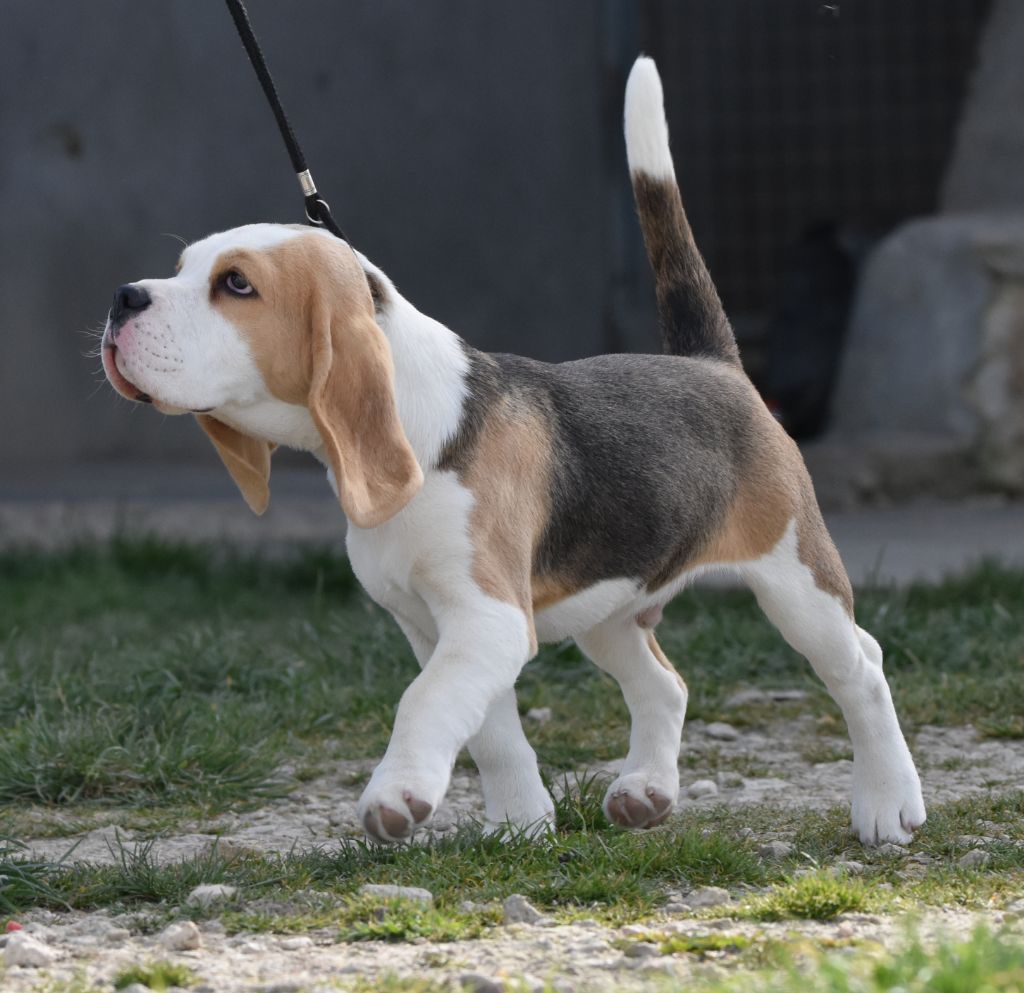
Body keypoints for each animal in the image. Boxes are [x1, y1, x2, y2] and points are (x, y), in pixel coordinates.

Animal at [103, 58, 929, 839]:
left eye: (236, 284)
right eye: (179, 270)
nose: (122, 297)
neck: (423, 431)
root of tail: (714, 364)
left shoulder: (487, 617)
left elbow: (423, 700)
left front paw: (397, 795)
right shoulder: (441, 626)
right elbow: (488, 728)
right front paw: (520, 822)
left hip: (795, 578)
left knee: (862, 665)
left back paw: (888, 802)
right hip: (611, 604)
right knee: (664, 684)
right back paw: (646, 791)